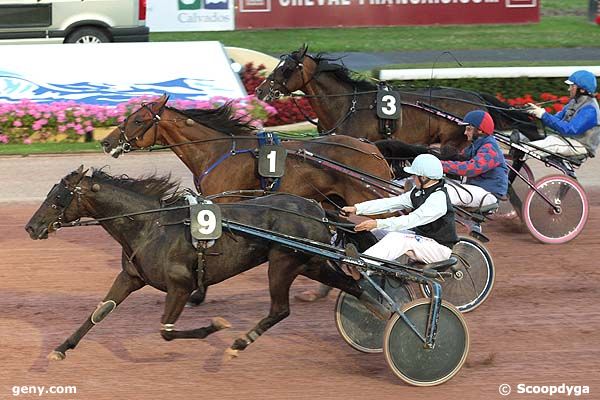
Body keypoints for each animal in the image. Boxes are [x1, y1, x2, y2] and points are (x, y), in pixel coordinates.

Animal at [25, 167, 382, 360]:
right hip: (309, 263)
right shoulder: (130, 277)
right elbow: (99, 312)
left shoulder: (180, 287)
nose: (31, 227)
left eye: (58, 197)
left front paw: (216, 327)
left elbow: (167, 332)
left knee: (280, 309)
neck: (151, 226)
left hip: (282, 264)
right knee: (353, 285)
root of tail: (316, 209)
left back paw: (239, 343)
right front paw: (62, 347)